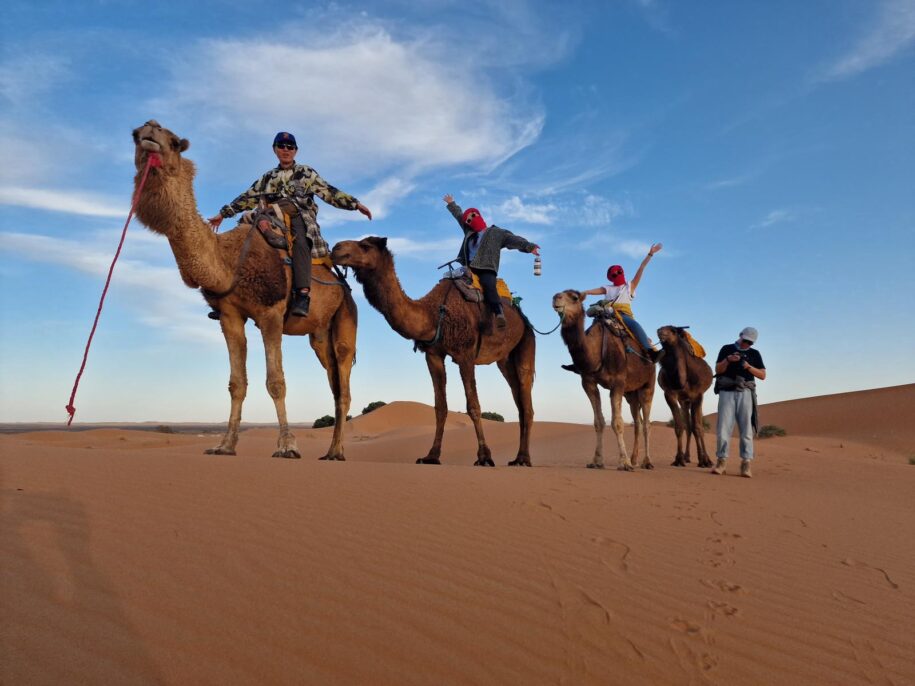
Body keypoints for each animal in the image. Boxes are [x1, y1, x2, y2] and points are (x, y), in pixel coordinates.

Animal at [131, 119, 358, 462]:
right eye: (135, 136)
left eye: (174, 142)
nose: (149, 129)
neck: (229, 260)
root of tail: (344, 286)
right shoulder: (230, 315)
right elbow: (237, 383)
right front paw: (224, 445)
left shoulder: (271, 313)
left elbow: (276, 381)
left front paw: (287, 446)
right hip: (319, 335)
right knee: (334, 385)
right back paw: (332, 450)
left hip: (346, 316)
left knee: (343, 383)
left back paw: (337, 453)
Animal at [330, 236, 536, 468]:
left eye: (365, 246)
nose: (337, 248)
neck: (434, 314)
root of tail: (521, 315)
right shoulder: (433, 354)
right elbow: (440, 407)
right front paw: (431, 456)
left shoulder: (465, 354)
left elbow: (473, 405)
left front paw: (484, 456)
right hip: (505, 360)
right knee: (519, 402)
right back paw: (518, 457)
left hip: (526, 341)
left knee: (526, 399)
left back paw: (523, 458)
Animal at [552, 290, 660, 472]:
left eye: (574, 297)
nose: (555, 298)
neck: (595, 351)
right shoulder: (588, 383)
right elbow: (599, 422)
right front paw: (596, 461)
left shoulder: (617, 382)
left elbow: (617, 423)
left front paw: (624, 463)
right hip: (631, 393)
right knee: (637, 423)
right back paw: (635, 459)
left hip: (648, 384)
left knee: (646, 424)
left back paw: (647, 462)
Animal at [660, 326, 716, 468]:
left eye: (673, 330)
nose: (661, 331)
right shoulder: (669, 393)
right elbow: (679, 426)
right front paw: (678, 459)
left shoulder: (698, 395)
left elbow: (698, 427)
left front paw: (703, 461)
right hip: (684, 401)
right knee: (689, 427)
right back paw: (687, 457)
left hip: (696, 399)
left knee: (699, 427)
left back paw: (707, 459)